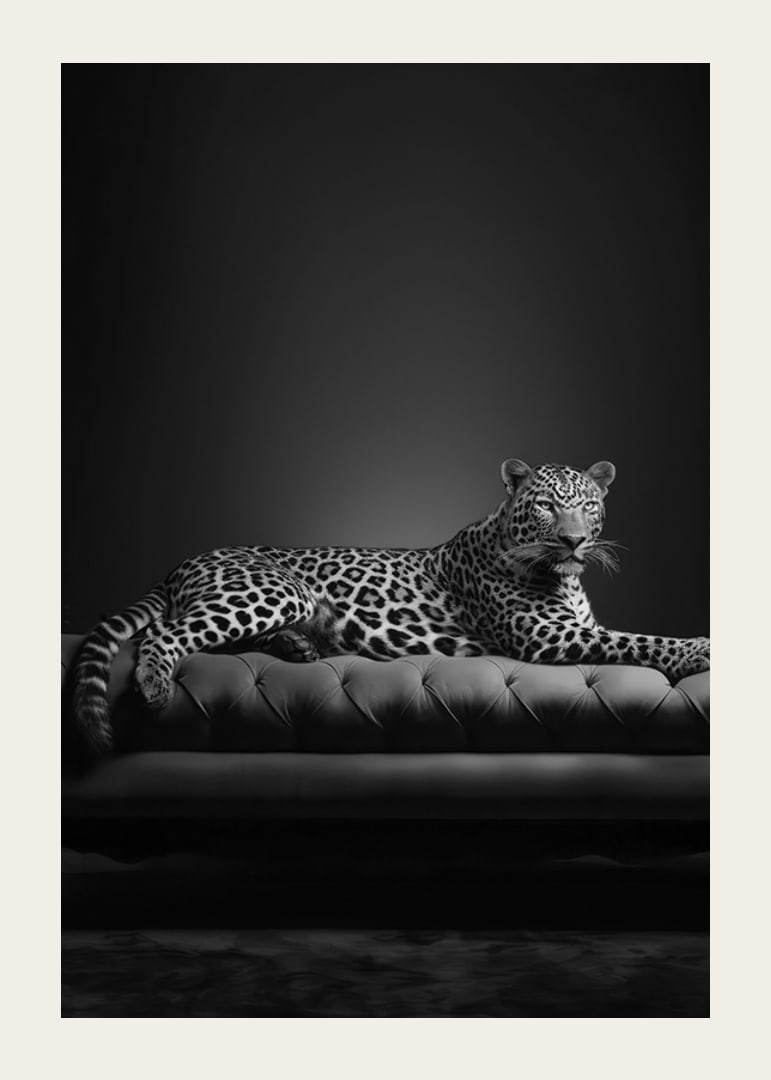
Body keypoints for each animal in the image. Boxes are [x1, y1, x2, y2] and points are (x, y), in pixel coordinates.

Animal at [70, 458, 710, 756]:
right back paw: (155, 684)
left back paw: (298, 646)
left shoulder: (574, 626)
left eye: (588, 505)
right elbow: (641, 640)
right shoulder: (548, 637)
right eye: (549, 506)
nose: (575, 541)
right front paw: (701, 648)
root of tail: (183, 562)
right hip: (274, 590)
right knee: (166, 635)